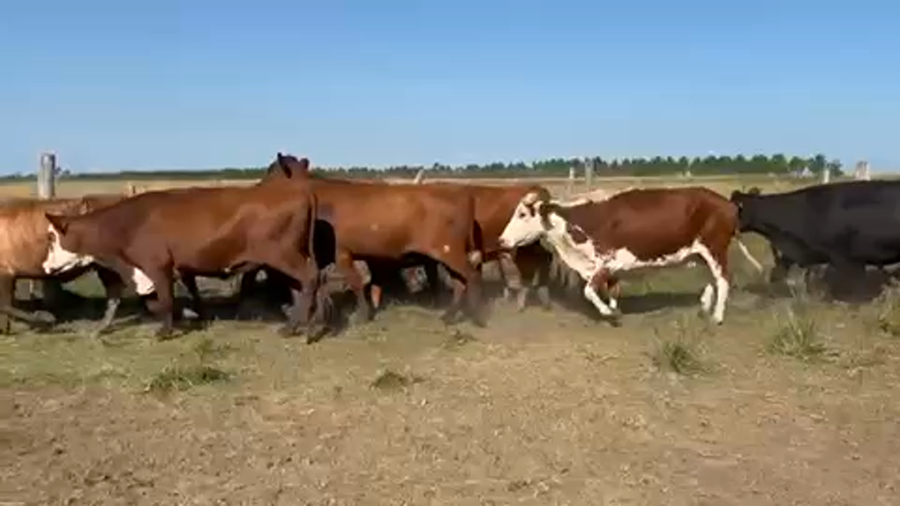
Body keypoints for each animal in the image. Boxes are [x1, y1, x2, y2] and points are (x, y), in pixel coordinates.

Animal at [40, 171, 324, 341]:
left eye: (52, 237)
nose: (45, 265)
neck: (126, 224)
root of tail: (298, 190)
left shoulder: (158, 266)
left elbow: (164, 300)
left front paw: (166, 330)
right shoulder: (173, 269)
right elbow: (169, 299)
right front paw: (192, 315)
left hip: (283, 255)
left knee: (310, 278)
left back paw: (304, 329)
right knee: (302, 286)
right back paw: (299, 324)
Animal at [254, 153, 486, 327]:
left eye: (270, 173)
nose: (256, 188)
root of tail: (462, 193)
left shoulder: (341, 252)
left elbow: (355, 282)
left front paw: (362, 315)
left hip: (448, 250)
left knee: (471, 276)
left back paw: (477, 317)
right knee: (460, 282)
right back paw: (449, 316)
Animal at [498, 186, 764, 325]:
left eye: (522, 214)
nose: (501, 240)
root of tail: (728, 203)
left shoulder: (605, 261)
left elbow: (589, 291)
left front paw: (608, 312)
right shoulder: (609, 268)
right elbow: (612, 289)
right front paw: (614, 308)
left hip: (715, 249)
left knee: (723, 280)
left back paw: (717, 316)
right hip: (701, 254)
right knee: (712, 279)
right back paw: (704, 308)